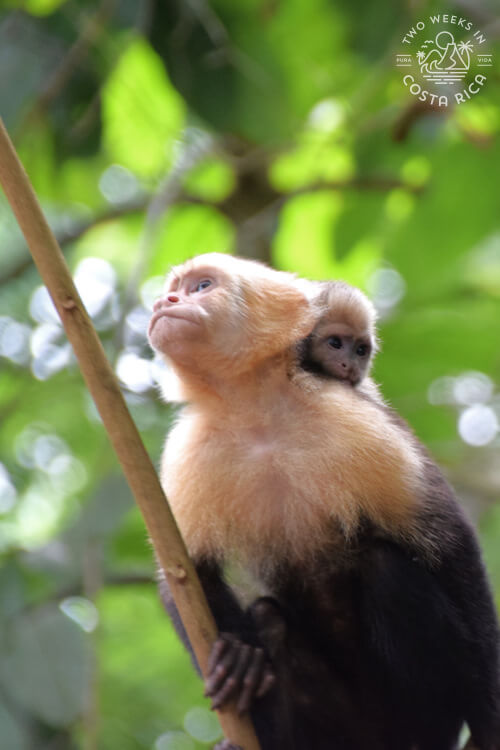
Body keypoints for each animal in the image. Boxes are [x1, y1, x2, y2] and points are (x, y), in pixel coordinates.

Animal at [148, 254, 500, 750]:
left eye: (201, 286)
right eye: (176, 288)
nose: (166, 301)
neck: (258, 411)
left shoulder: (356, 421)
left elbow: (449, 543)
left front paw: (489, 721)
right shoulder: (187, 450)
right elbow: (185, 575)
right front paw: (239, 654)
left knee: (386, 569)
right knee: (270, 617)